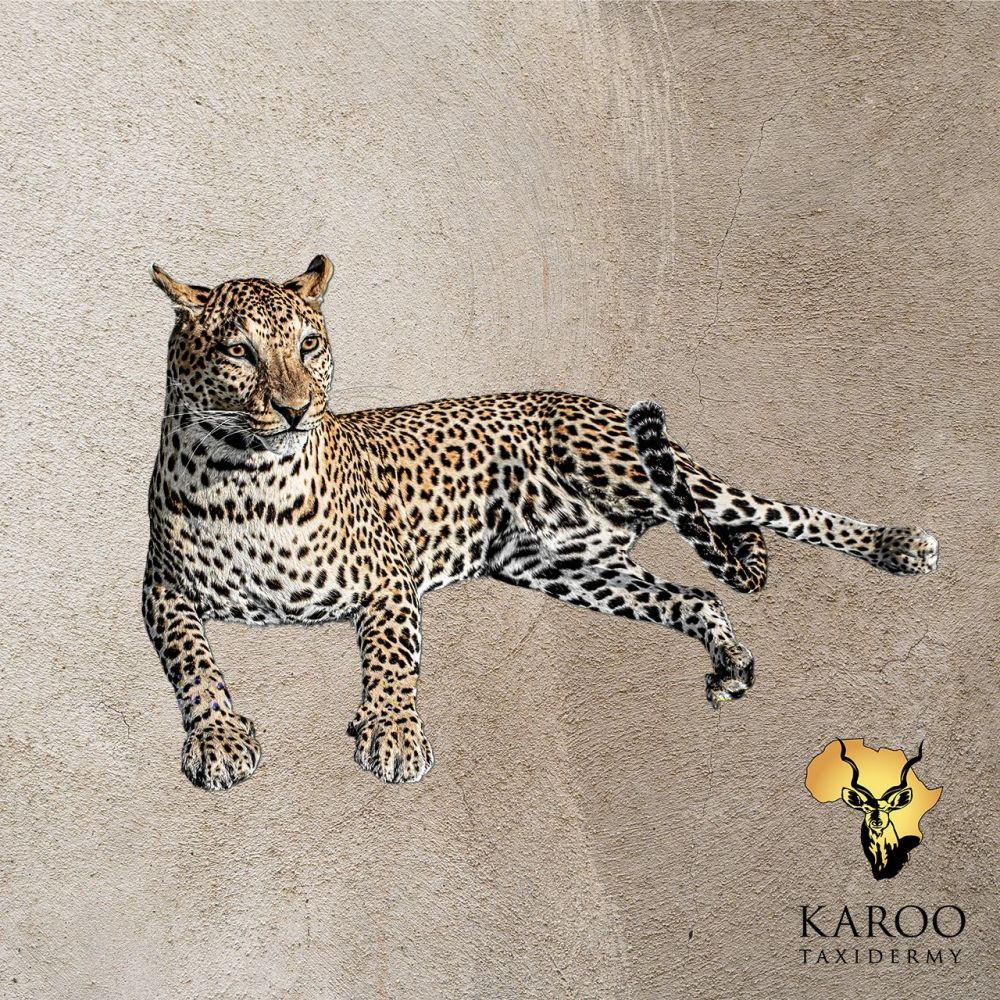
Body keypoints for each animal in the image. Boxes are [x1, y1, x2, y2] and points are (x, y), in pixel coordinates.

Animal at [143, 255, 939, 791]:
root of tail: (591, 399)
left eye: (308, 344)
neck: (247, 479)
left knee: (780, 513)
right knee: (700, 594)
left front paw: (394, 734)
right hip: (569, 566)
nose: (297, 407)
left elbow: (393, 662)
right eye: (239, 350)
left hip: (633, 471)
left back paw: (899, 545)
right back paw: (730, 663)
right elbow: (195, 662)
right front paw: (219, 739)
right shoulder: (161, 593)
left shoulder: (389, 581)